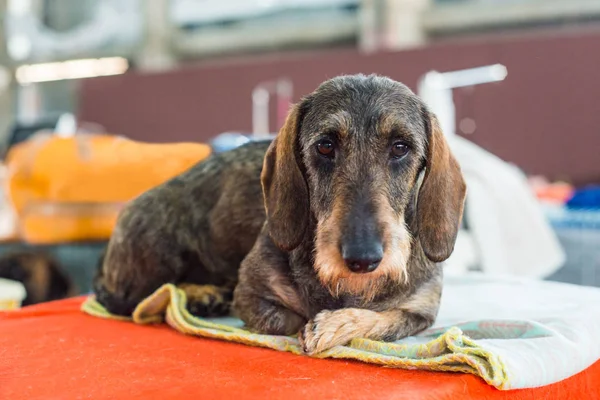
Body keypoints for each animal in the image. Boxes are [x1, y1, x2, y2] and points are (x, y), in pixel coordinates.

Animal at [95, 74, 468, 354]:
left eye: (400, 147)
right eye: (325, 145)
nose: (363, 258)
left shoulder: (422, 311)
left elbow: (386, 320)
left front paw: (337, 323)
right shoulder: (251, 297)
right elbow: (292, 319)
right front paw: (319, 323)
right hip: (156, 247)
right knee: (142, 298)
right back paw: (202, 294)